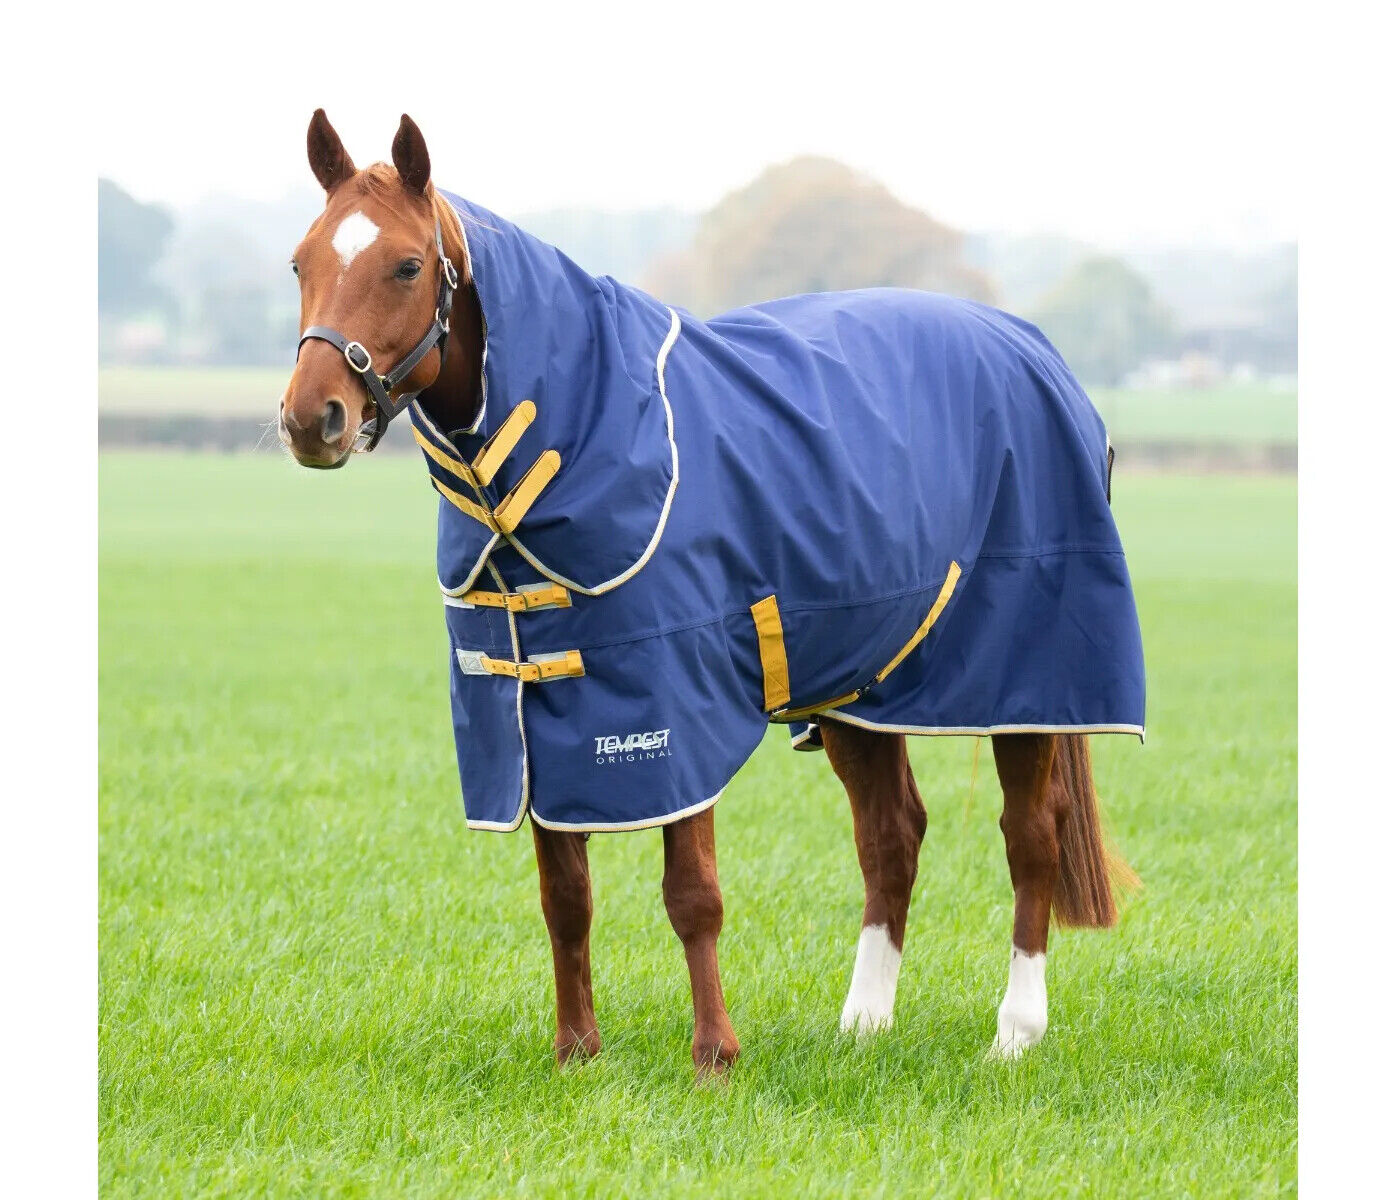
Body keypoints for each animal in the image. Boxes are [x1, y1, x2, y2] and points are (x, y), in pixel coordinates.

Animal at [279, 110, 1141, 1074]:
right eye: (301, 262)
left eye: (405, 265)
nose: (311, 419)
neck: (573, 442)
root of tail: (1036, 350)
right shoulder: (536, 708)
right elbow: (564, 895)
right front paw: (576, 1052)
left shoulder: (669, 710)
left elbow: (691, 891)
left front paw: (713, 1058)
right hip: (862, 685)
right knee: (891, 838)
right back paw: (863, 1024)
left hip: (1024, 680)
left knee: (1028, 838)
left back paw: (1014, 1033)